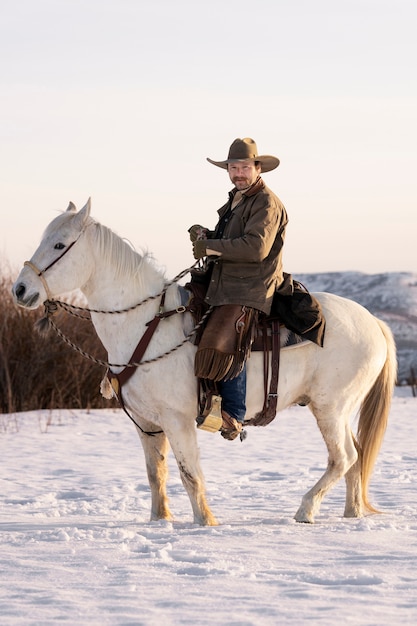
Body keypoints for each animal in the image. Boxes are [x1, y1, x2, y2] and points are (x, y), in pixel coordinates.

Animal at [11, 199, 394, 520]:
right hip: (339, 410)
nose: (19, 290)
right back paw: (352, 513)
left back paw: (306, 509)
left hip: (331, 407)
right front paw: (160, 521)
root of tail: (373, 322)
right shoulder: (146, 423)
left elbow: (189, 474)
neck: (144, 325)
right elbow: (156, 474)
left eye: (60, 245)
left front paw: (205, 523)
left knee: (343, 457)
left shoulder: (177, 419)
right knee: (356, 456)